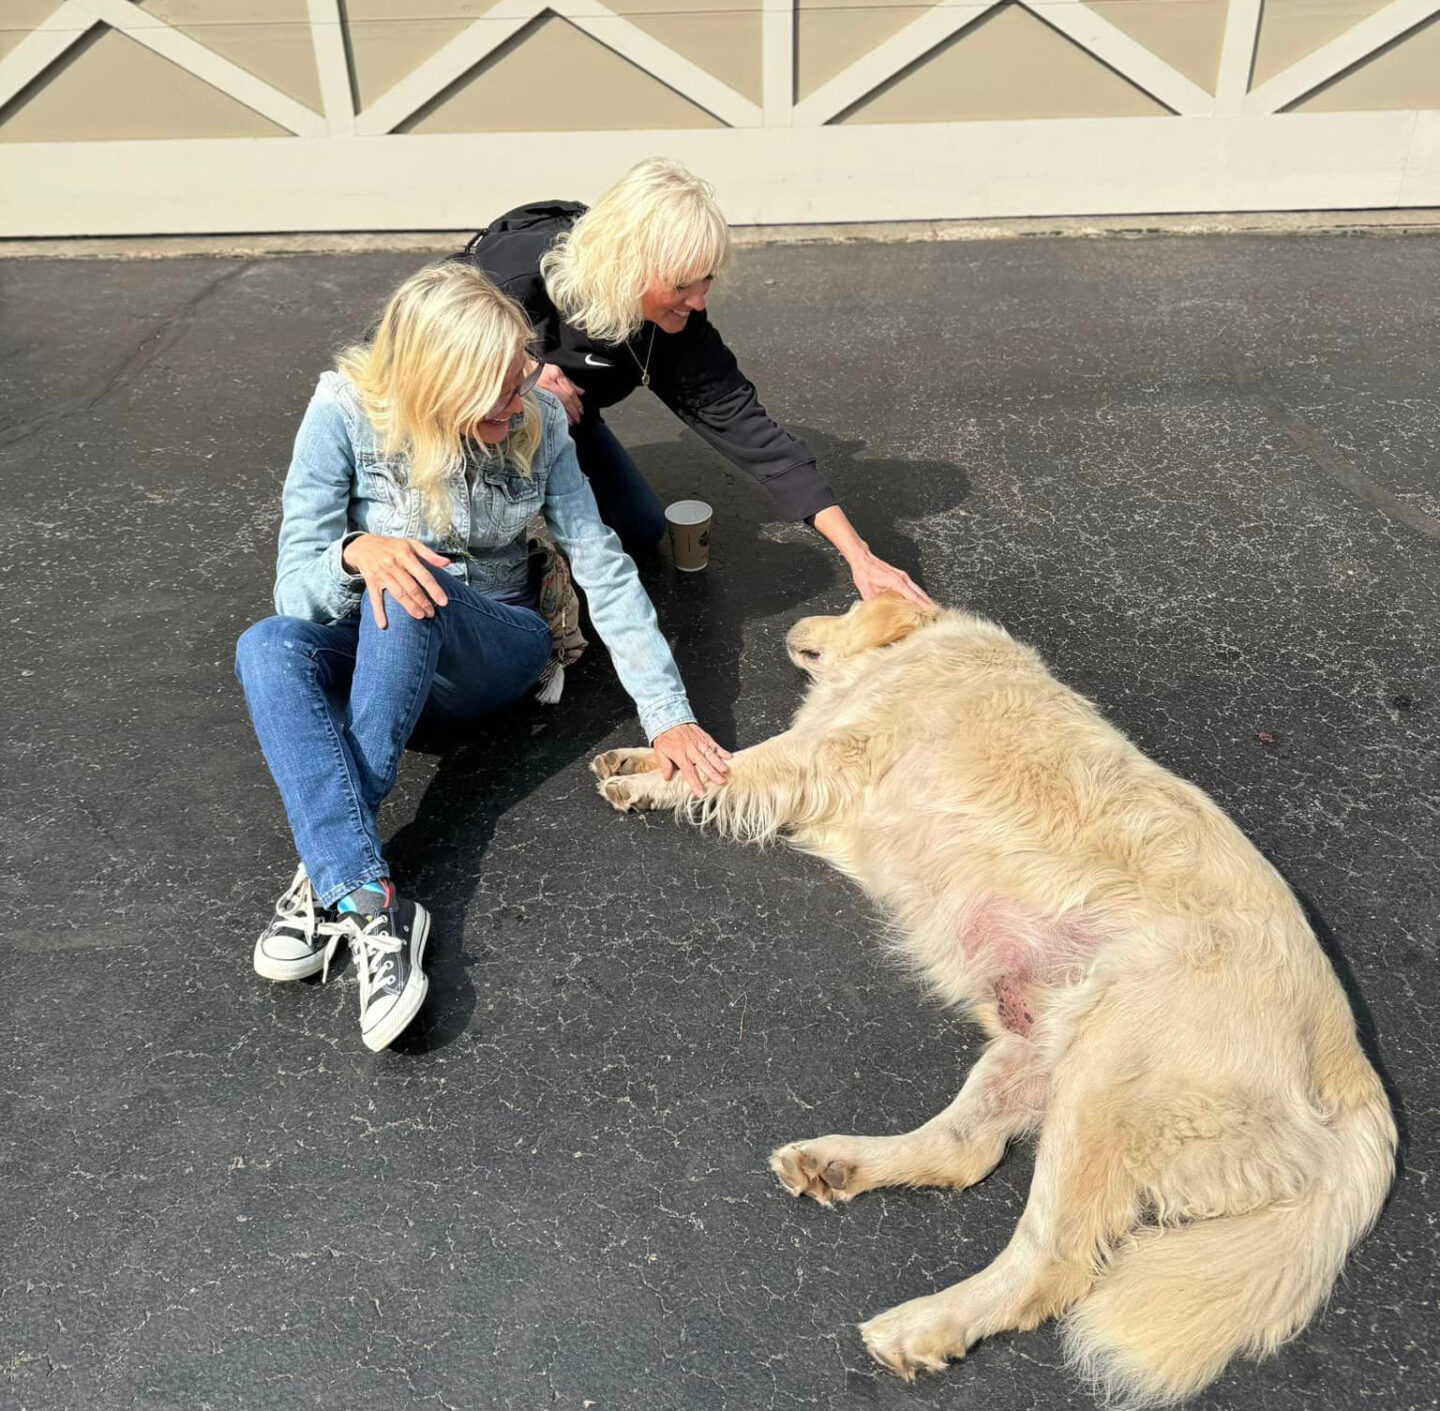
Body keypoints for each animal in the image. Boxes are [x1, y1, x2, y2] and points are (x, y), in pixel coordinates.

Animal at [587, 593, 1393, 1399]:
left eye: (848, 605)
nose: (798, 626)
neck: (916, 649)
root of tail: (1352, 1071)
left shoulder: (824, 749)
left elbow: (732, 762)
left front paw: (648, 776)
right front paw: (637, 761)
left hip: (1106, 1073)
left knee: (1049, 1262)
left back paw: (923, 1326)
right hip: (1036, 1045)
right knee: (963, 1152)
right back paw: (838, 1163)